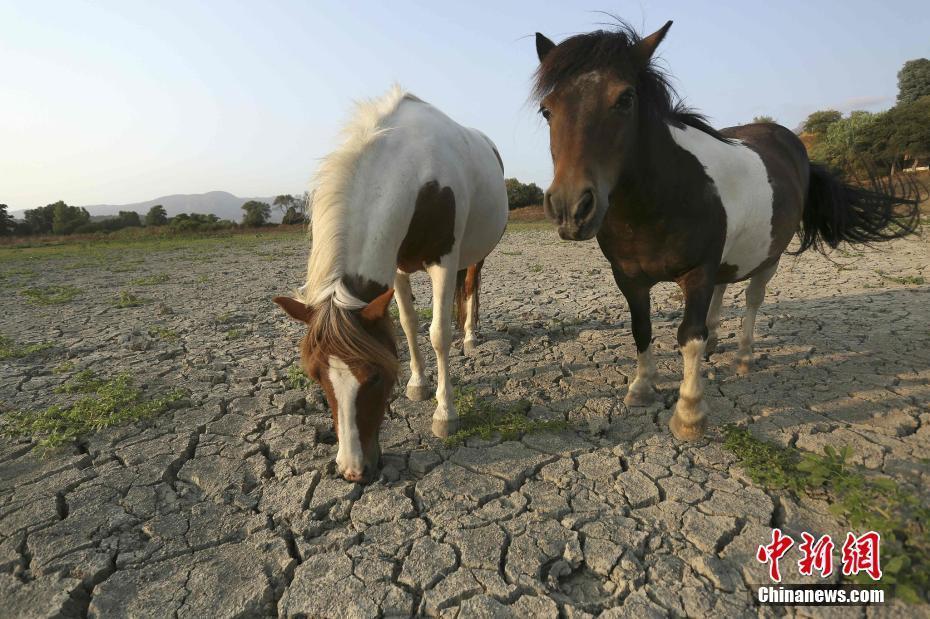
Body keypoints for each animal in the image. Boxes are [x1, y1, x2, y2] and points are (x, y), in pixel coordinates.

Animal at [274, 86, 508, 484]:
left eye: (373, 378)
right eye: (317, 376)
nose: (353, 471)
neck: (419, 173)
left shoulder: (443, 261)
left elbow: (438, 334)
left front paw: (445, 413)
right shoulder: (395, 266)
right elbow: (409, 325)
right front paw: (418, 384)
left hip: (476, 251)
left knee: (472, 285)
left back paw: (470, 336)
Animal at [532, 21, 916, 444]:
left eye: (625, 98)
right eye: (547, 109)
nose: (570, 208)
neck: (658, 200)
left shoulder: (697, 270)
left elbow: (689, 335)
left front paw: (689, 412)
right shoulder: (628, 277)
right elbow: (642, 329)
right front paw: (642, 388)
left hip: (769, 257)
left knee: (751, 299)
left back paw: (744, 356)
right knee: (721, 292)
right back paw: (717, 341)